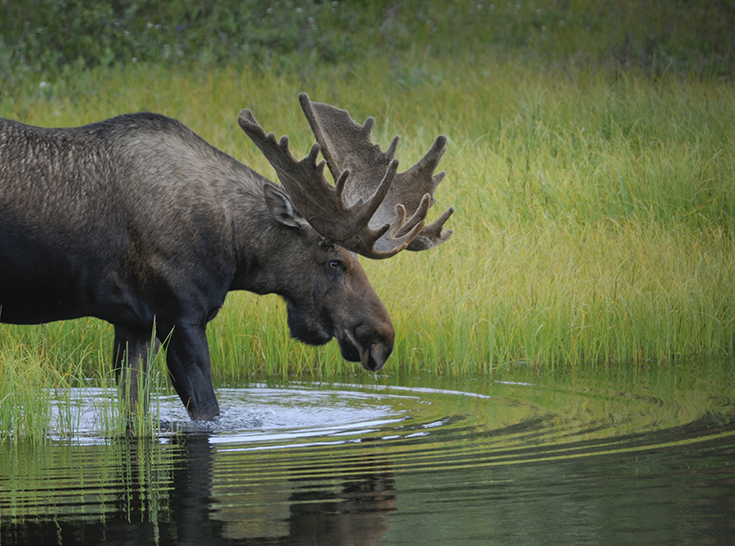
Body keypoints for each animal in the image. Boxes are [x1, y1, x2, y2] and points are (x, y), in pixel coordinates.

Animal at [0, 93, 454, 418]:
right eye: (333, 261)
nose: (381, 337)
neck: (234, 251)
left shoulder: (133, 324)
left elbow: (133, 412)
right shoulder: (180, 317)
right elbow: (208, 413)